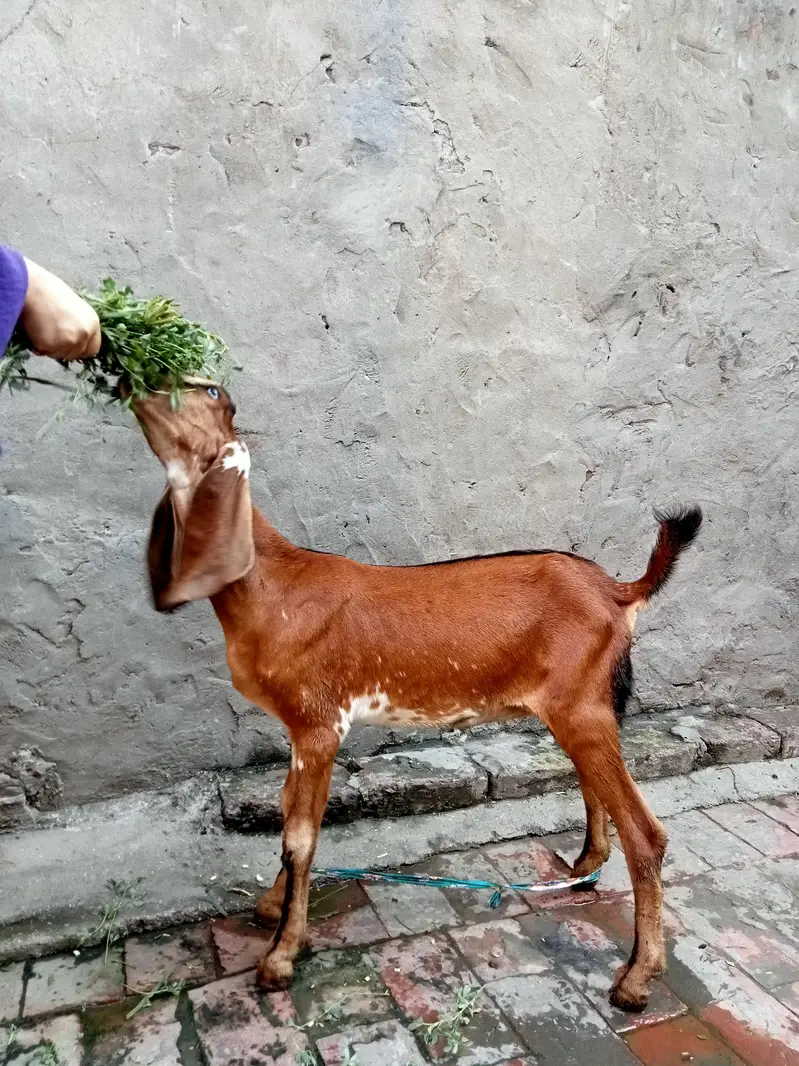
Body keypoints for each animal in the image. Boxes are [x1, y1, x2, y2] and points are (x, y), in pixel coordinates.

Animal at [132, 378, 702, 1011]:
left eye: (209, 392)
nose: (139, 389)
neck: (270, 583)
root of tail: (617, 590)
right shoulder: (303, 729)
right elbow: (289, 816)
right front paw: (273, 908)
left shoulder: (318, 723)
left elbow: (299, 837)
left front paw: (280, 957)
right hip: (584, 709)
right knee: (597, 791)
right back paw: (584, 868)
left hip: (582, 710)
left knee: (646, 835)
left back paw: (636, 977)